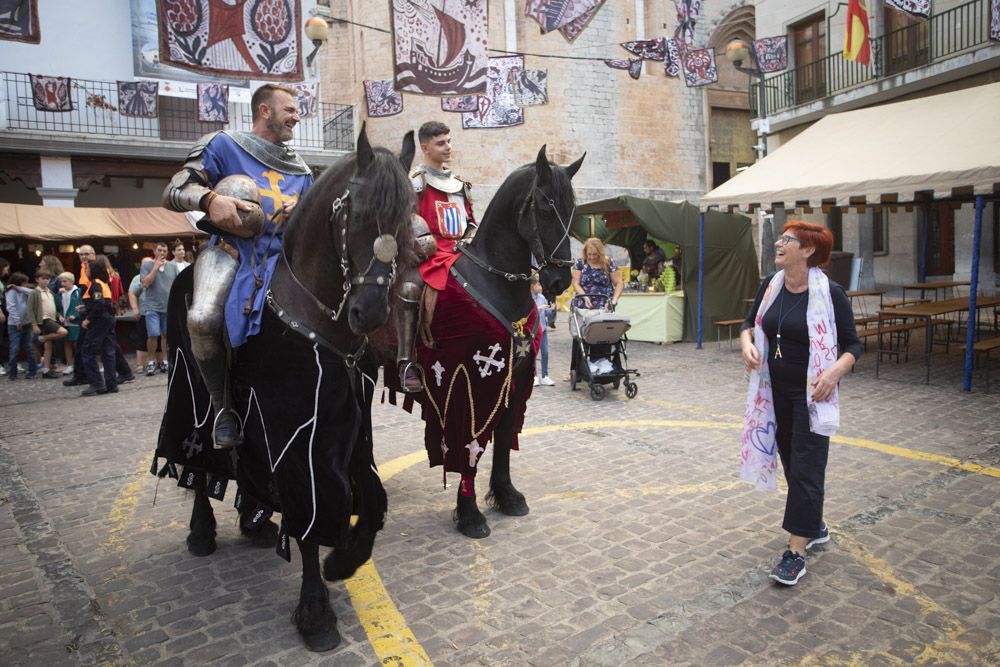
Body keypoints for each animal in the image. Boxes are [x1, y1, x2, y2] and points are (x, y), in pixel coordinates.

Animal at [151, 125, 414, 652]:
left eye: (405, 220)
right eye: (355, 212)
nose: (370, 313)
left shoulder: (351, 430)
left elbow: (372, 500)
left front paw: (344, 560)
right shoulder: (300, 438)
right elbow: (311, 516)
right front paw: (315, 612)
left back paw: (253, 519)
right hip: (188, 392)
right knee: (199, 454)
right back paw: (202, 529)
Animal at [398, 145, 584, 536]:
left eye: (573, 209)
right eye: (545, 206)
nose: (559, 280)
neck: (494, 281)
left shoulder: (513, 375)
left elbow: (502, 435)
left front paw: (506, 494)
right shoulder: (465, 380)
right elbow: (467, 444)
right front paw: (469, 514)